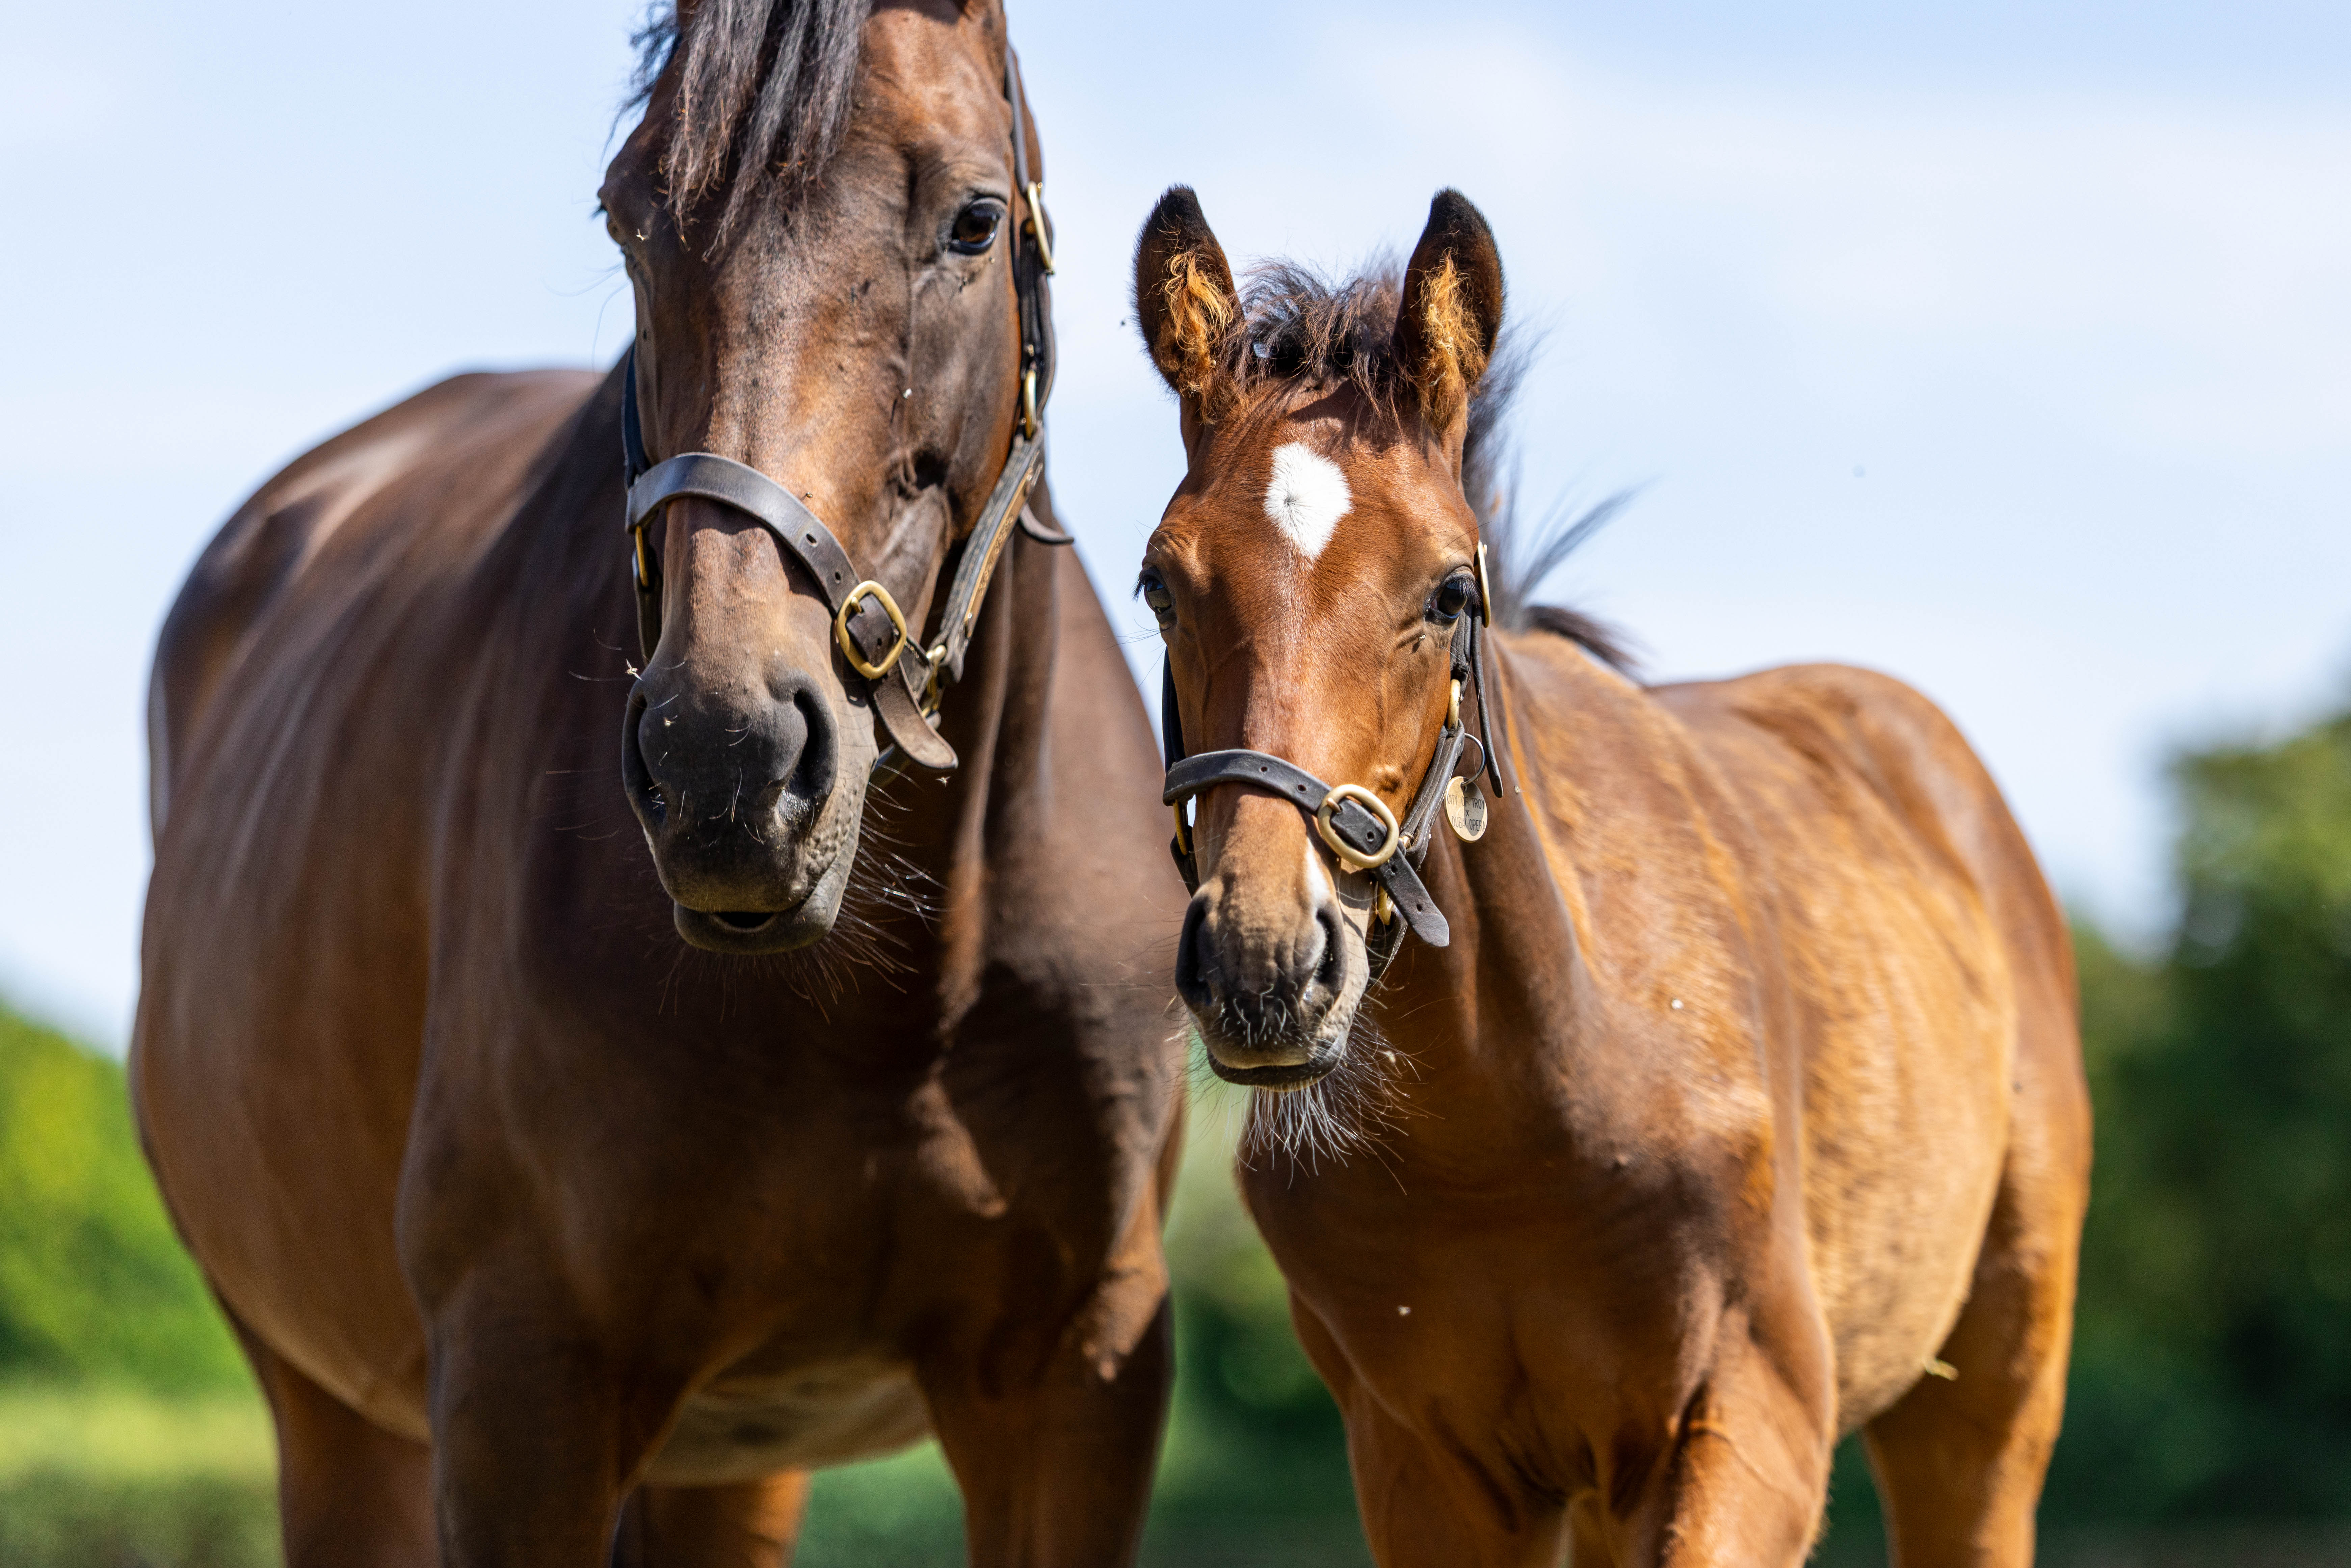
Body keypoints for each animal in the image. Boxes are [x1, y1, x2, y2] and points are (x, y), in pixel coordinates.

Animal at [130, 4, 1187, 1563]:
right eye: (632, 218)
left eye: (974, 220)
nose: (726, 761)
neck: (884, 1003)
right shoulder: (521, 1396)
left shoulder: (1079, 1387)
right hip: (336, 1414)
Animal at [1127, 186, 2092, 1565]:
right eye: (1160, 582)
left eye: (1448, 589)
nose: (1265, 963)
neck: (1514, 1116)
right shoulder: (1424, 1464)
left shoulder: (1749, 1424)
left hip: (1991, 1396)